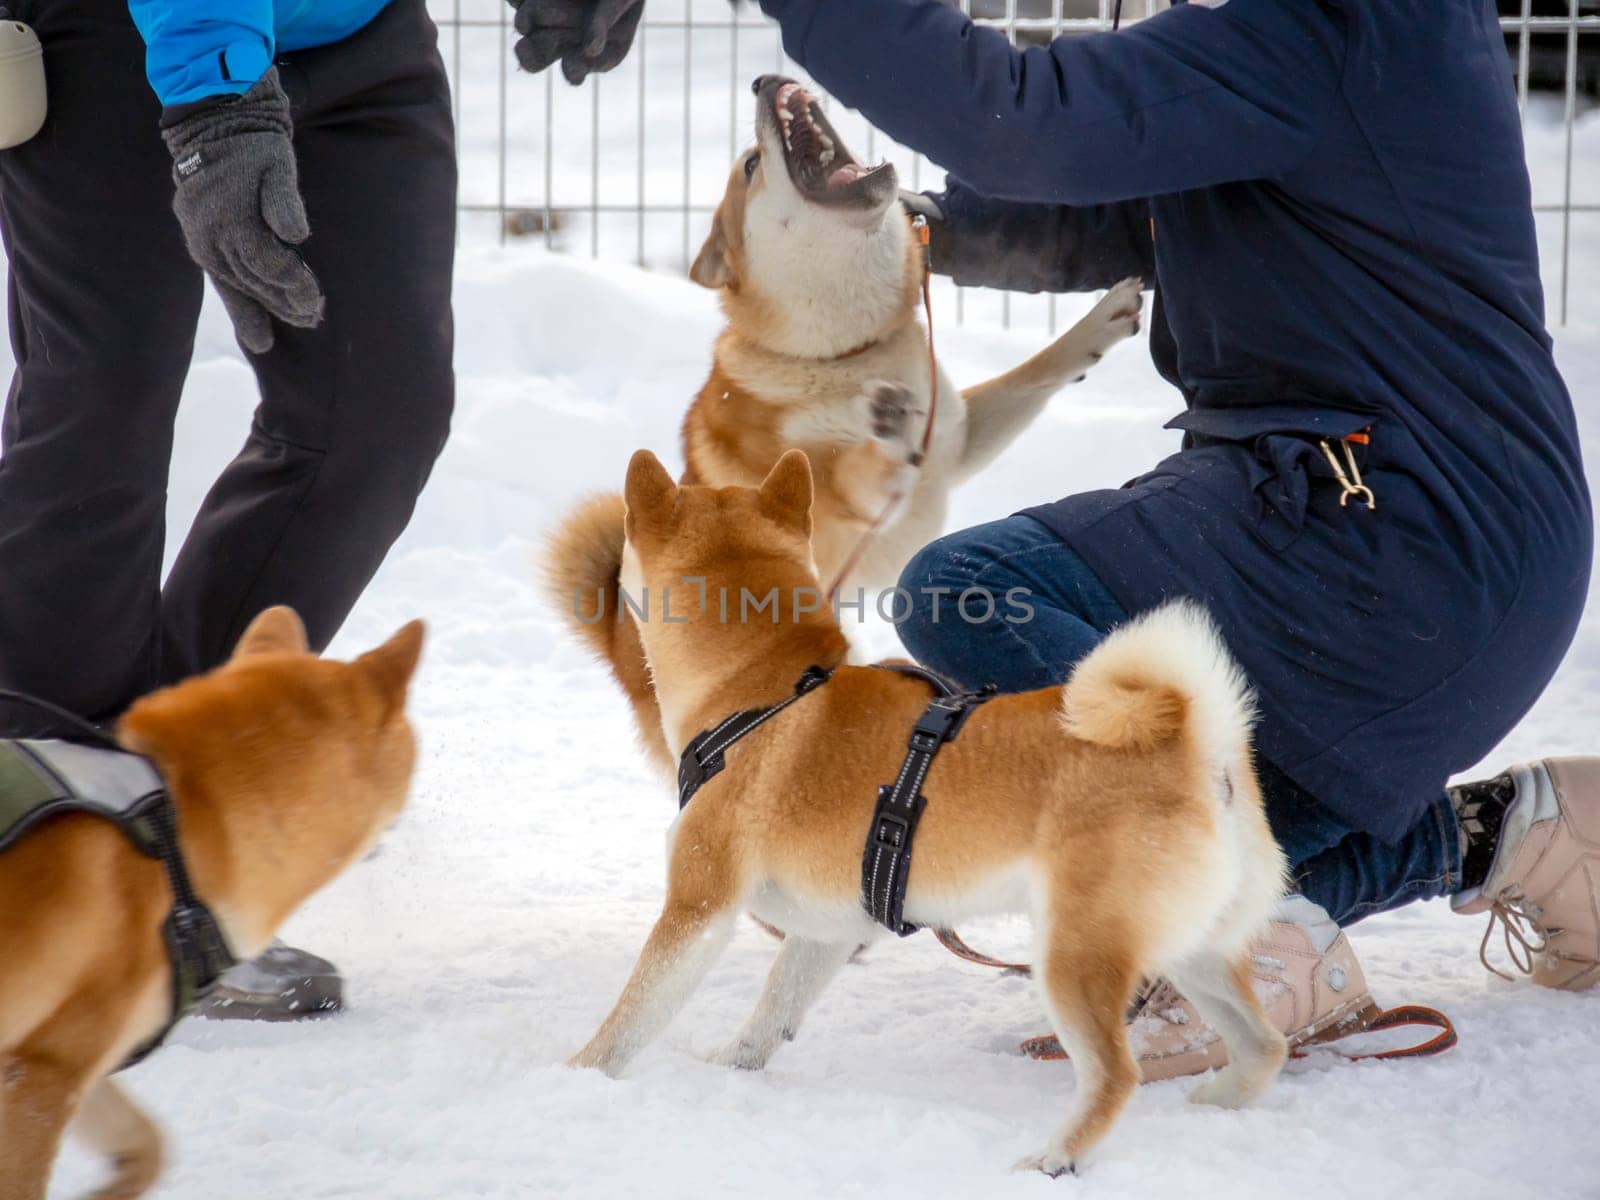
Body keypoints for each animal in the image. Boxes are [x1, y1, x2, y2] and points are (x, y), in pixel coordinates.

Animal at [547, 77, 1139, 771]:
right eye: (752, 165)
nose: (764, 81)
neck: (847, 355)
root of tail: (621, 645)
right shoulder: (829, 498)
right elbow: (859, 466)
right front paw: (886, 428)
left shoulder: (956, 439)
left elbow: (1034, 372)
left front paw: (1101, 321)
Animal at [569, 454, 1292, 1177]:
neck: (764, 687)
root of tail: (1194, 744)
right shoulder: (829, 930)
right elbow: (772, 1012)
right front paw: (731, 1064)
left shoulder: (699, 906)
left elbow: (632, 1016)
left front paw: (576, 1073)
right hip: (1197, 948)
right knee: (1265, 1045)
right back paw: (1215, 1102)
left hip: (1074, 955)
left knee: (1117, 1075)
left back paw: (1051, 1159)